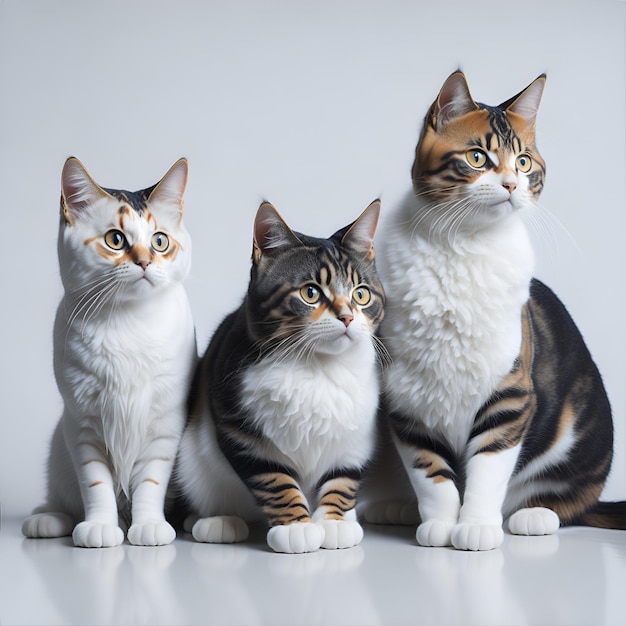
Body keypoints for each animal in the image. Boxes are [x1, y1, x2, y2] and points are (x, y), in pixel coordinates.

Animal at [22, 157, 195, 544]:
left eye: (160, 241)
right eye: (115, 239)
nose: (145, 262)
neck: (128, 322)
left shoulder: (164, 424)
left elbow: (150, 483)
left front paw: (148, 527)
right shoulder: (83, 426)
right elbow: (96, 483)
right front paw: (100, 527)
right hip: (59, 448)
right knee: (62, 499)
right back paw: (47, 519)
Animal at [173, 199, 382, 552]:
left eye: (361, 294)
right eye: (311, 292)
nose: (347, 317)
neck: (318, 366)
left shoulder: (356, 432)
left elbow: (343, 476)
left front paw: (334, 522)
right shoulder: (239, 428)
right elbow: (275, 479)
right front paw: (297, 527)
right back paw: (216, 522)